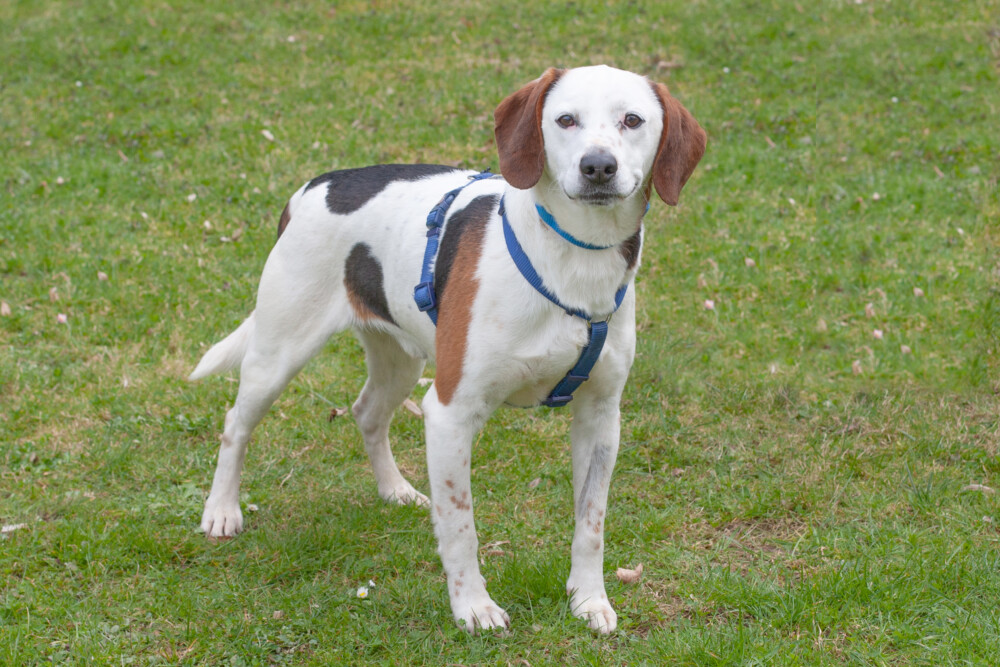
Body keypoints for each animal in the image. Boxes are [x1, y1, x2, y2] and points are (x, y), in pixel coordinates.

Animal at [189, 65, 705, 633]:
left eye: (632, 120)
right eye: (565, 120)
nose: (597, 166)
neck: (575, 258)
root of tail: (316, 185)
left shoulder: (600, 416)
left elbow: (590, 524)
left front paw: (589, 600)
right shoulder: (450, 412)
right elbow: (461, 527)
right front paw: (473, 608)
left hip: (401, 358)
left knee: (367, 412)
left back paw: (394, 489)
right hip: (279, 352)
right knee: (236, 423)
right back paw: (221, 510)